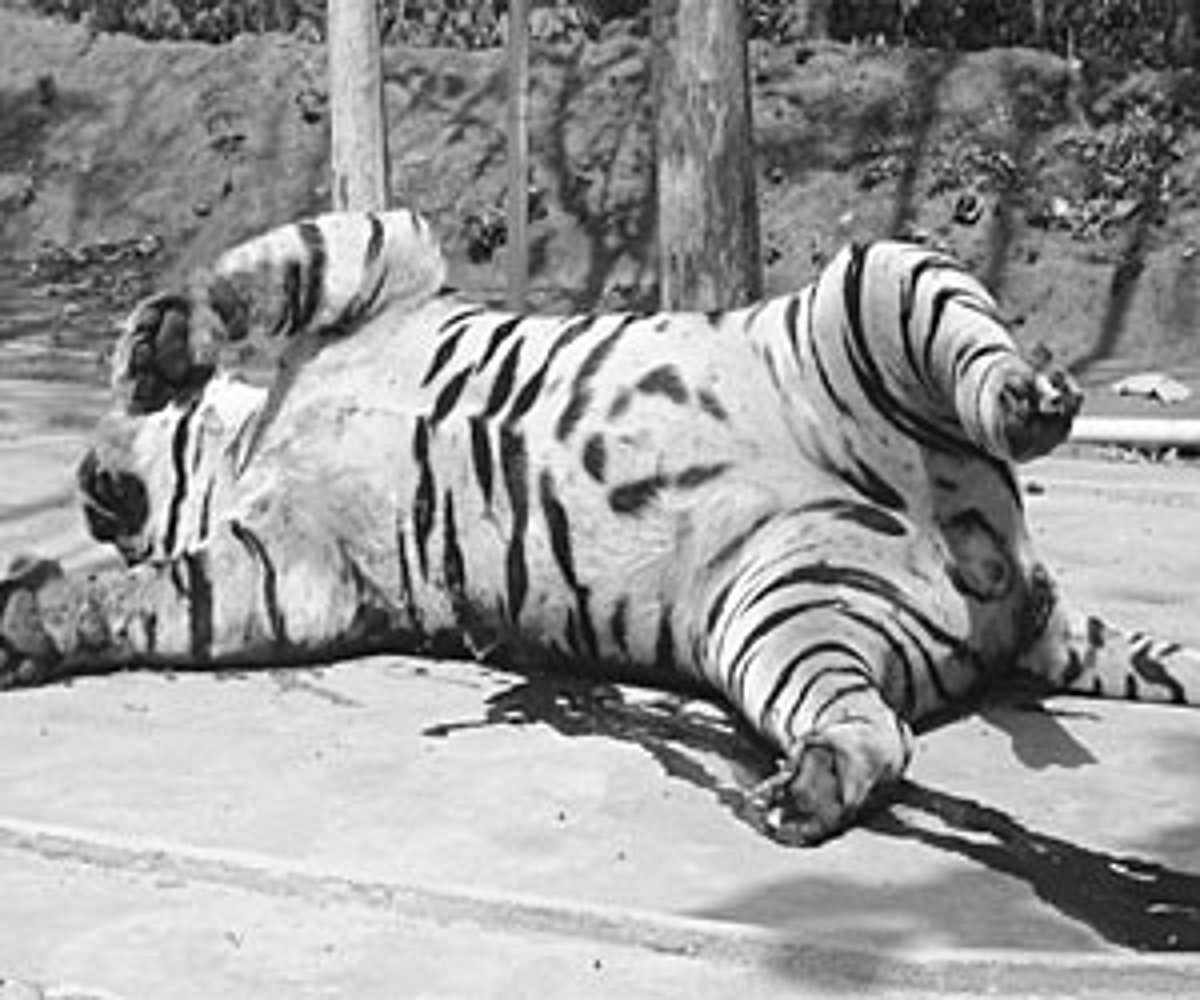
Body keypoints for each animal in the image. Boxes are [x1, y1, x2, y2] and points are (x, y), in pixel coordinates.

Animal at [2, 208, 1198, 845]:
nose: (91, 488)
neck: (252, 448)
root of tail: (1022, 582)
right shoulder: (287, 577)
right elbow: (155, 600)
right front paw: (30, 617)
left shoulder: (390, 256)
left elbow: (265, 266)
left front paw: (163, 340)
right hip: (789, 615)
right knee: (877, 732)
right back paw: (809, 793)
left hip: (876, 281)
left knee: (979, 358)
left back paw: (1037, 399)